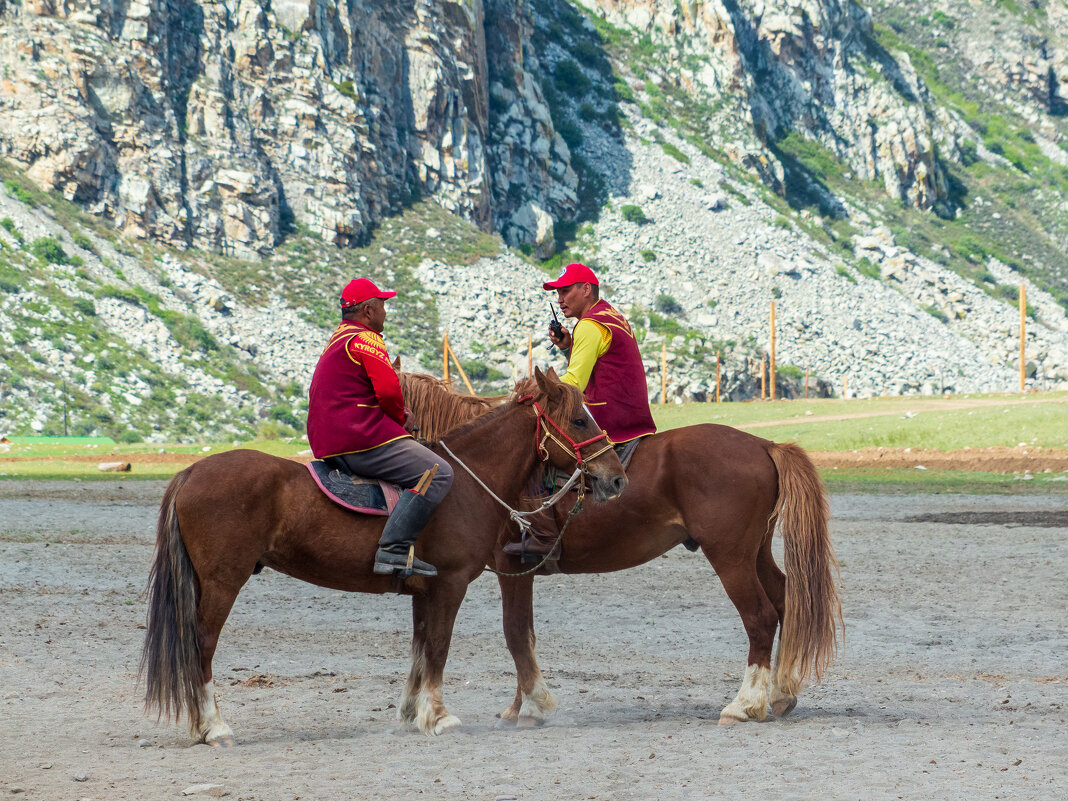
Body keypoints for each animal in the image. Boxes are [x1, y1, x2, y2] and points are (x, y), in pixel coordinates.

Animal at [139, 369, 623, 747]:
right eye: (579, 419)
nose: (616, 478)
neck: (467, 481)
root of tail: (191, 471)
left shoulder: (424, 589)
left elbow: (421, 648)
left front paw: (413, 712)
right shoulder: (449, 584)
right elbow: (440, 647)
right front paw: (440, 716)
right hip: (223, 582)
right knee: (202, 645)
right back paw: (214, 726)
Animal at [401, 373, 841, 730]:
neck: (486, 466)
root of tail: (764, 444)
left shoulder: (514, 567)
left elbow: (515, 633)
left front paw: (528, 709)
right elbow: (526, 636)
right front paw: (521, 705)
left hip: (730, 558)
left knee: (760, 616)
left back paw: (744, 704)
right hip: (755, 554)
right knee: (785, 602)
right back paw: (780, 693)